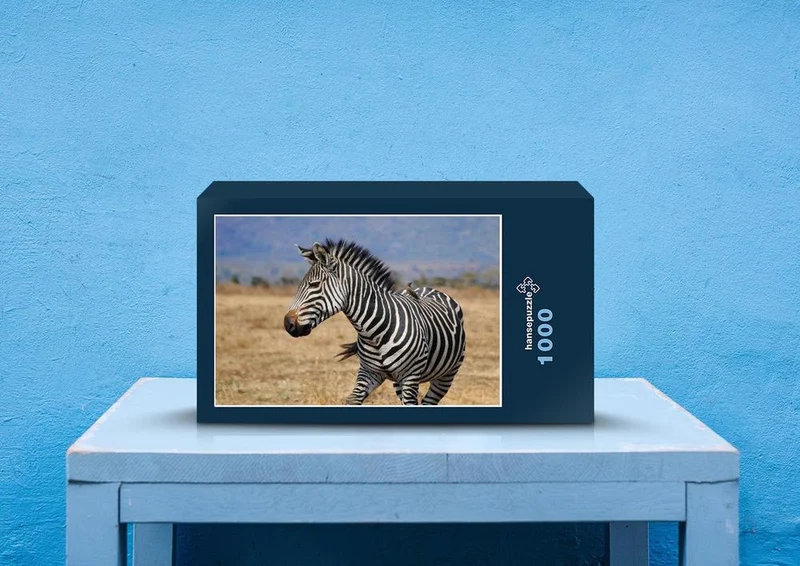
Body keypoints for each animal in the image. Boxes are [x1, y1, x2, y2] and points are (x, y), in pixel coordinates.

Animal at [283, 239, 466, 405]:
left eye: (314, 285)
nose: (287, 324)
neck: (374, 333)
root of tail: (427, 289)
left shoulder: (410, 376)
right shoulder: (368, 372)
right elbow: (353, 399)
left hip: (447, 375)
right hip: (397, 383)